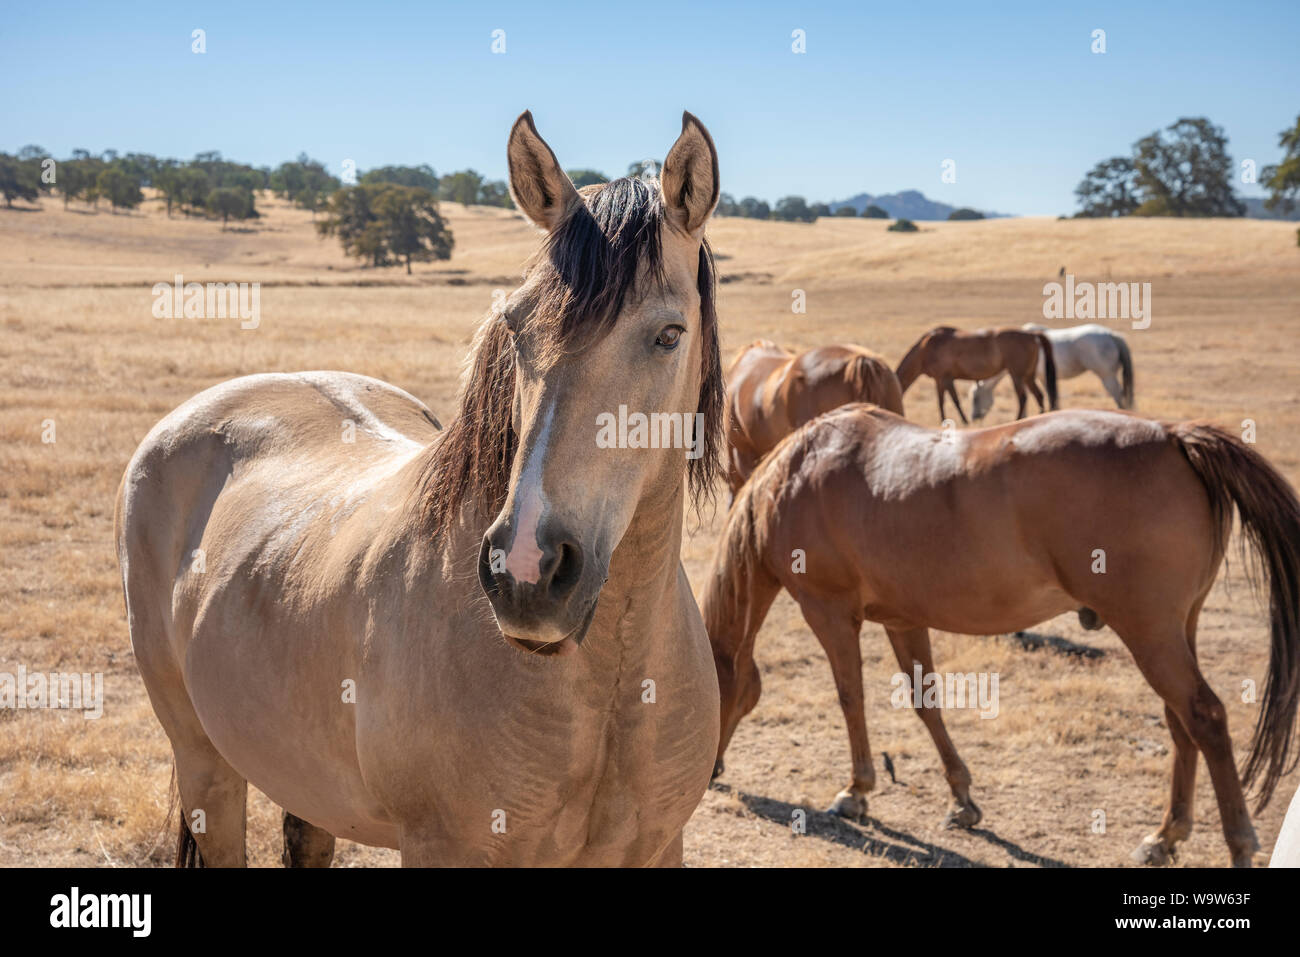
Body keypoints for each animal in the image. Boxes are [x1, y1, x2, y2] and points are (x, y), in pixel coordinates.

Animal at [116, 111, 728, 868]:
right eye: (515, 326)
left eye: (670, 334)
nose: (526, 570)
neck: (605, 684)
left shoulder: (658, 846)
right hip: (207, 767)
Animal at [707, 403, 1300, 868]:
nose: (708, 771)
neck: (798, 473)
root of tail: (1173, 436)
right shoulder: (903, 620)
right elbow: (926, 703)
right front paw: (961, 800)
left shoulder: (829, 612)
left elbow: (851, 698)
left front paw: (856, 792)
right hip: (1175, 630)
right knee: (1182, 726)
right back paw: (1165, 836)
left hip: (1149, 632)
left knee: (1206, 717)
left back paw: (1238, 844)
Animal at [899, 325, 1060, 421]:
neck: (925, 349)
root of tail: (1032, 334)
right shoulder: (948, 379)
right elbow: (954, 400)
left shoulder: (941, 378)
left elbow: (943, 401)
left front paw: (953, 421)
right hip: (1028, 376)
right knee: (1039, 395)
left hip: (1017, 375)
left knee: (1023, 398)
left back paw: (1017, 420)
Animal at [972, 321, 1133, 418]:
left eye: (975, 398)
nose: (974, 417)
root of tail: (1112, 335)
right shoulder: (1042, 378)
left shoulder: (1036, 377)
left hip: (1106, 375)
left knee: (1118, 394)